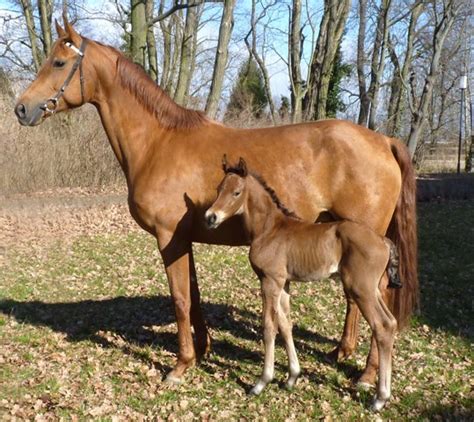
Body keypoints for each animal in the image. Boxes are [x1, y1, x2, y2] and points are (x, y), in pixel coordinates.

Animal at [206, 157, 398, 410]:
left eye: (236, 192)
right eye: (219, 189)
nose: (211, 217)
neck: (269, 229)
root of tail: (383, 241)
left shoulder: (269, 281)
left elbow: (269, 327)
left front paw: (261, 382)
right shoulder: (284, 284)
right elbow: (286, 325)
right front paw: (292, 377)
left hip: (361, 289)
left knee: (382, 326)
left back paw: (380, 398)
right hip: (371, 289)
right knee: (391, 322)